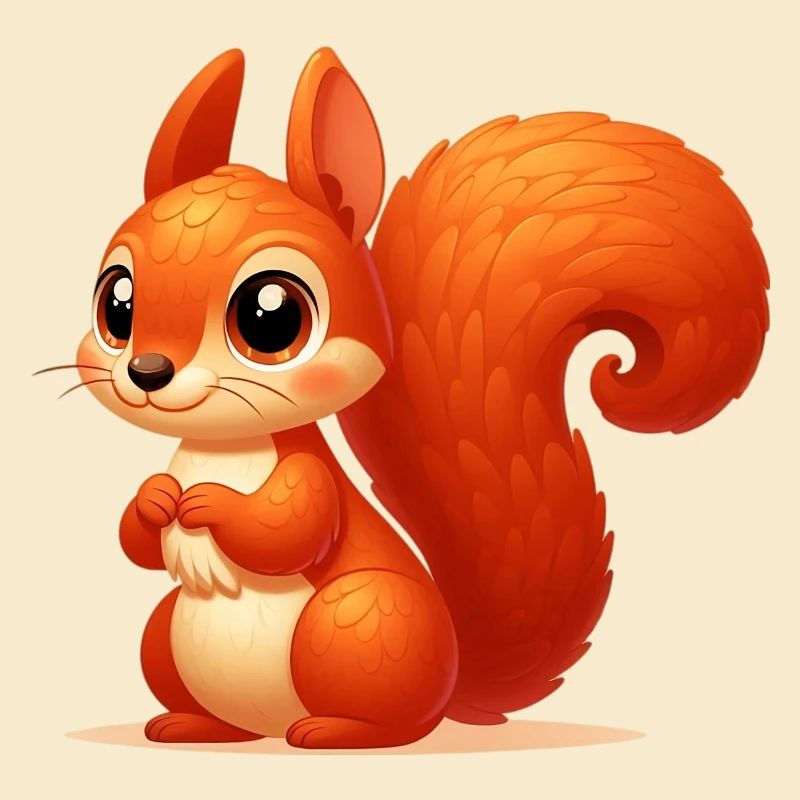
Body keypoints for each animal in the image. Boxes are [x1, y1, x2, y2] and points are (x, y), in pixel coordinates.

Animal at [62, 48, 767, 749]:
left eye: (272, 317)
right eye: (116, 302)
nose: (148, 371)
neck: (226, 448)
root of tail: (450, 685)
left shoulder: (311, 478)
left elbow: (290, 532)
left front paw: (208, 504)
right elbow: (136, 546)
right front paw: (156, 499)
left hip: (359, 617)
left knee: (390, 721)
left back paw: (335, 731)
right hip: (167, 637)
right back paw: (191, 724)